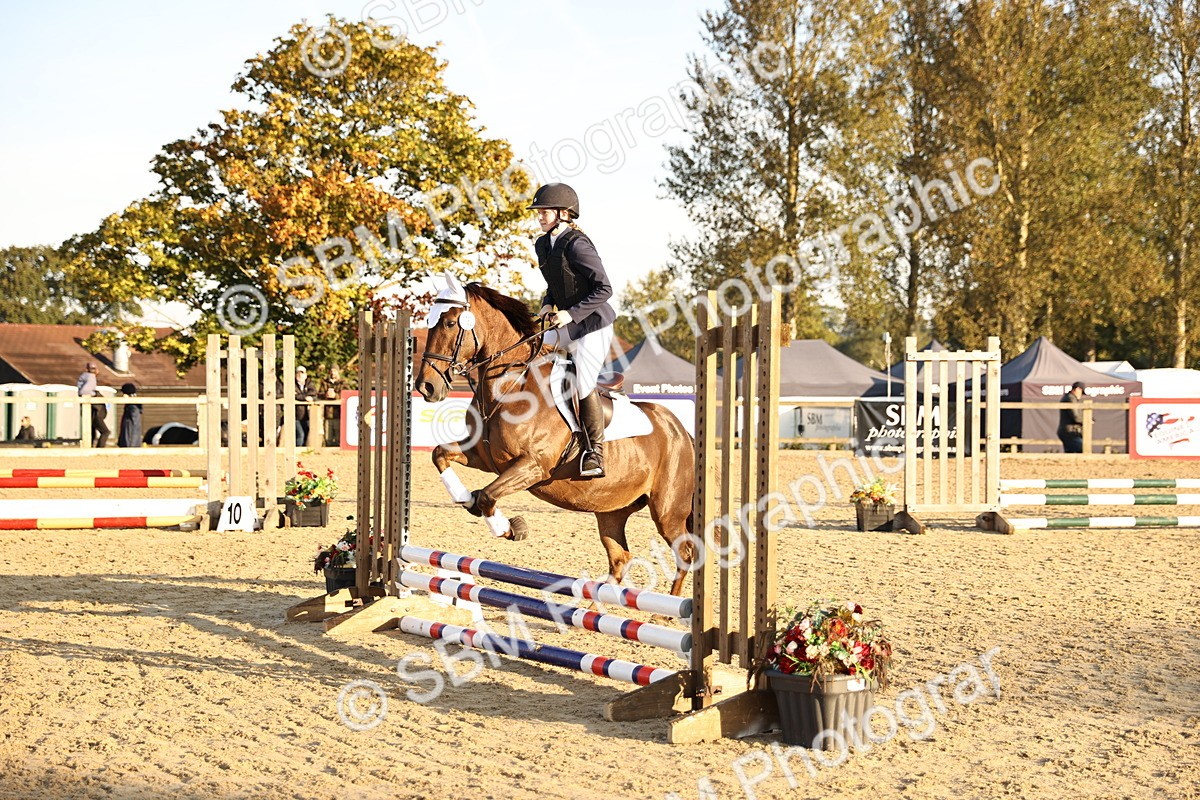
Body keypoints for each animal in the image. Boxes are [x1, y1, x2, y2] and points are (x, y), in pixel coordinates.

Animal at [416, 278, 696, 598]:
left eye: (450, 323)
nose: (425, 387)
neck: (511, 384)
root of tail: (680, 429)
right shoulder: (482, 457)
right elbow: (440, 455)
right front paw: (466, 498)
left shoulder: (533, 466)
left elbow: (487, 495)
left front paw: (510, 527)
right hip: (611, 510)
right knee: (620, 558)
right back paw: (593, 605)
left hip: (667, 511)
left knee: (684, 553)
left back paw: (672, 608)